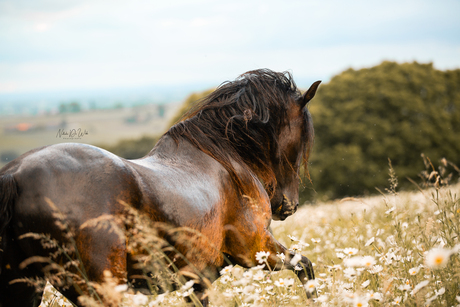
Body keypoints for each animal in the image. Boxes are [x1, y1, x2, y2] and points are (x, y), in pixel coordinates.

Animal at [0, 68, 320, 306]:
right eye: (303, 135)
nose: (287, 205)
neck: (226, 158)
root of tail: (15, 175)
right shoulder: (255, 249)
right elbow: (305, 266)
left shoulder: (197, 278)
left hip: (25, 287)